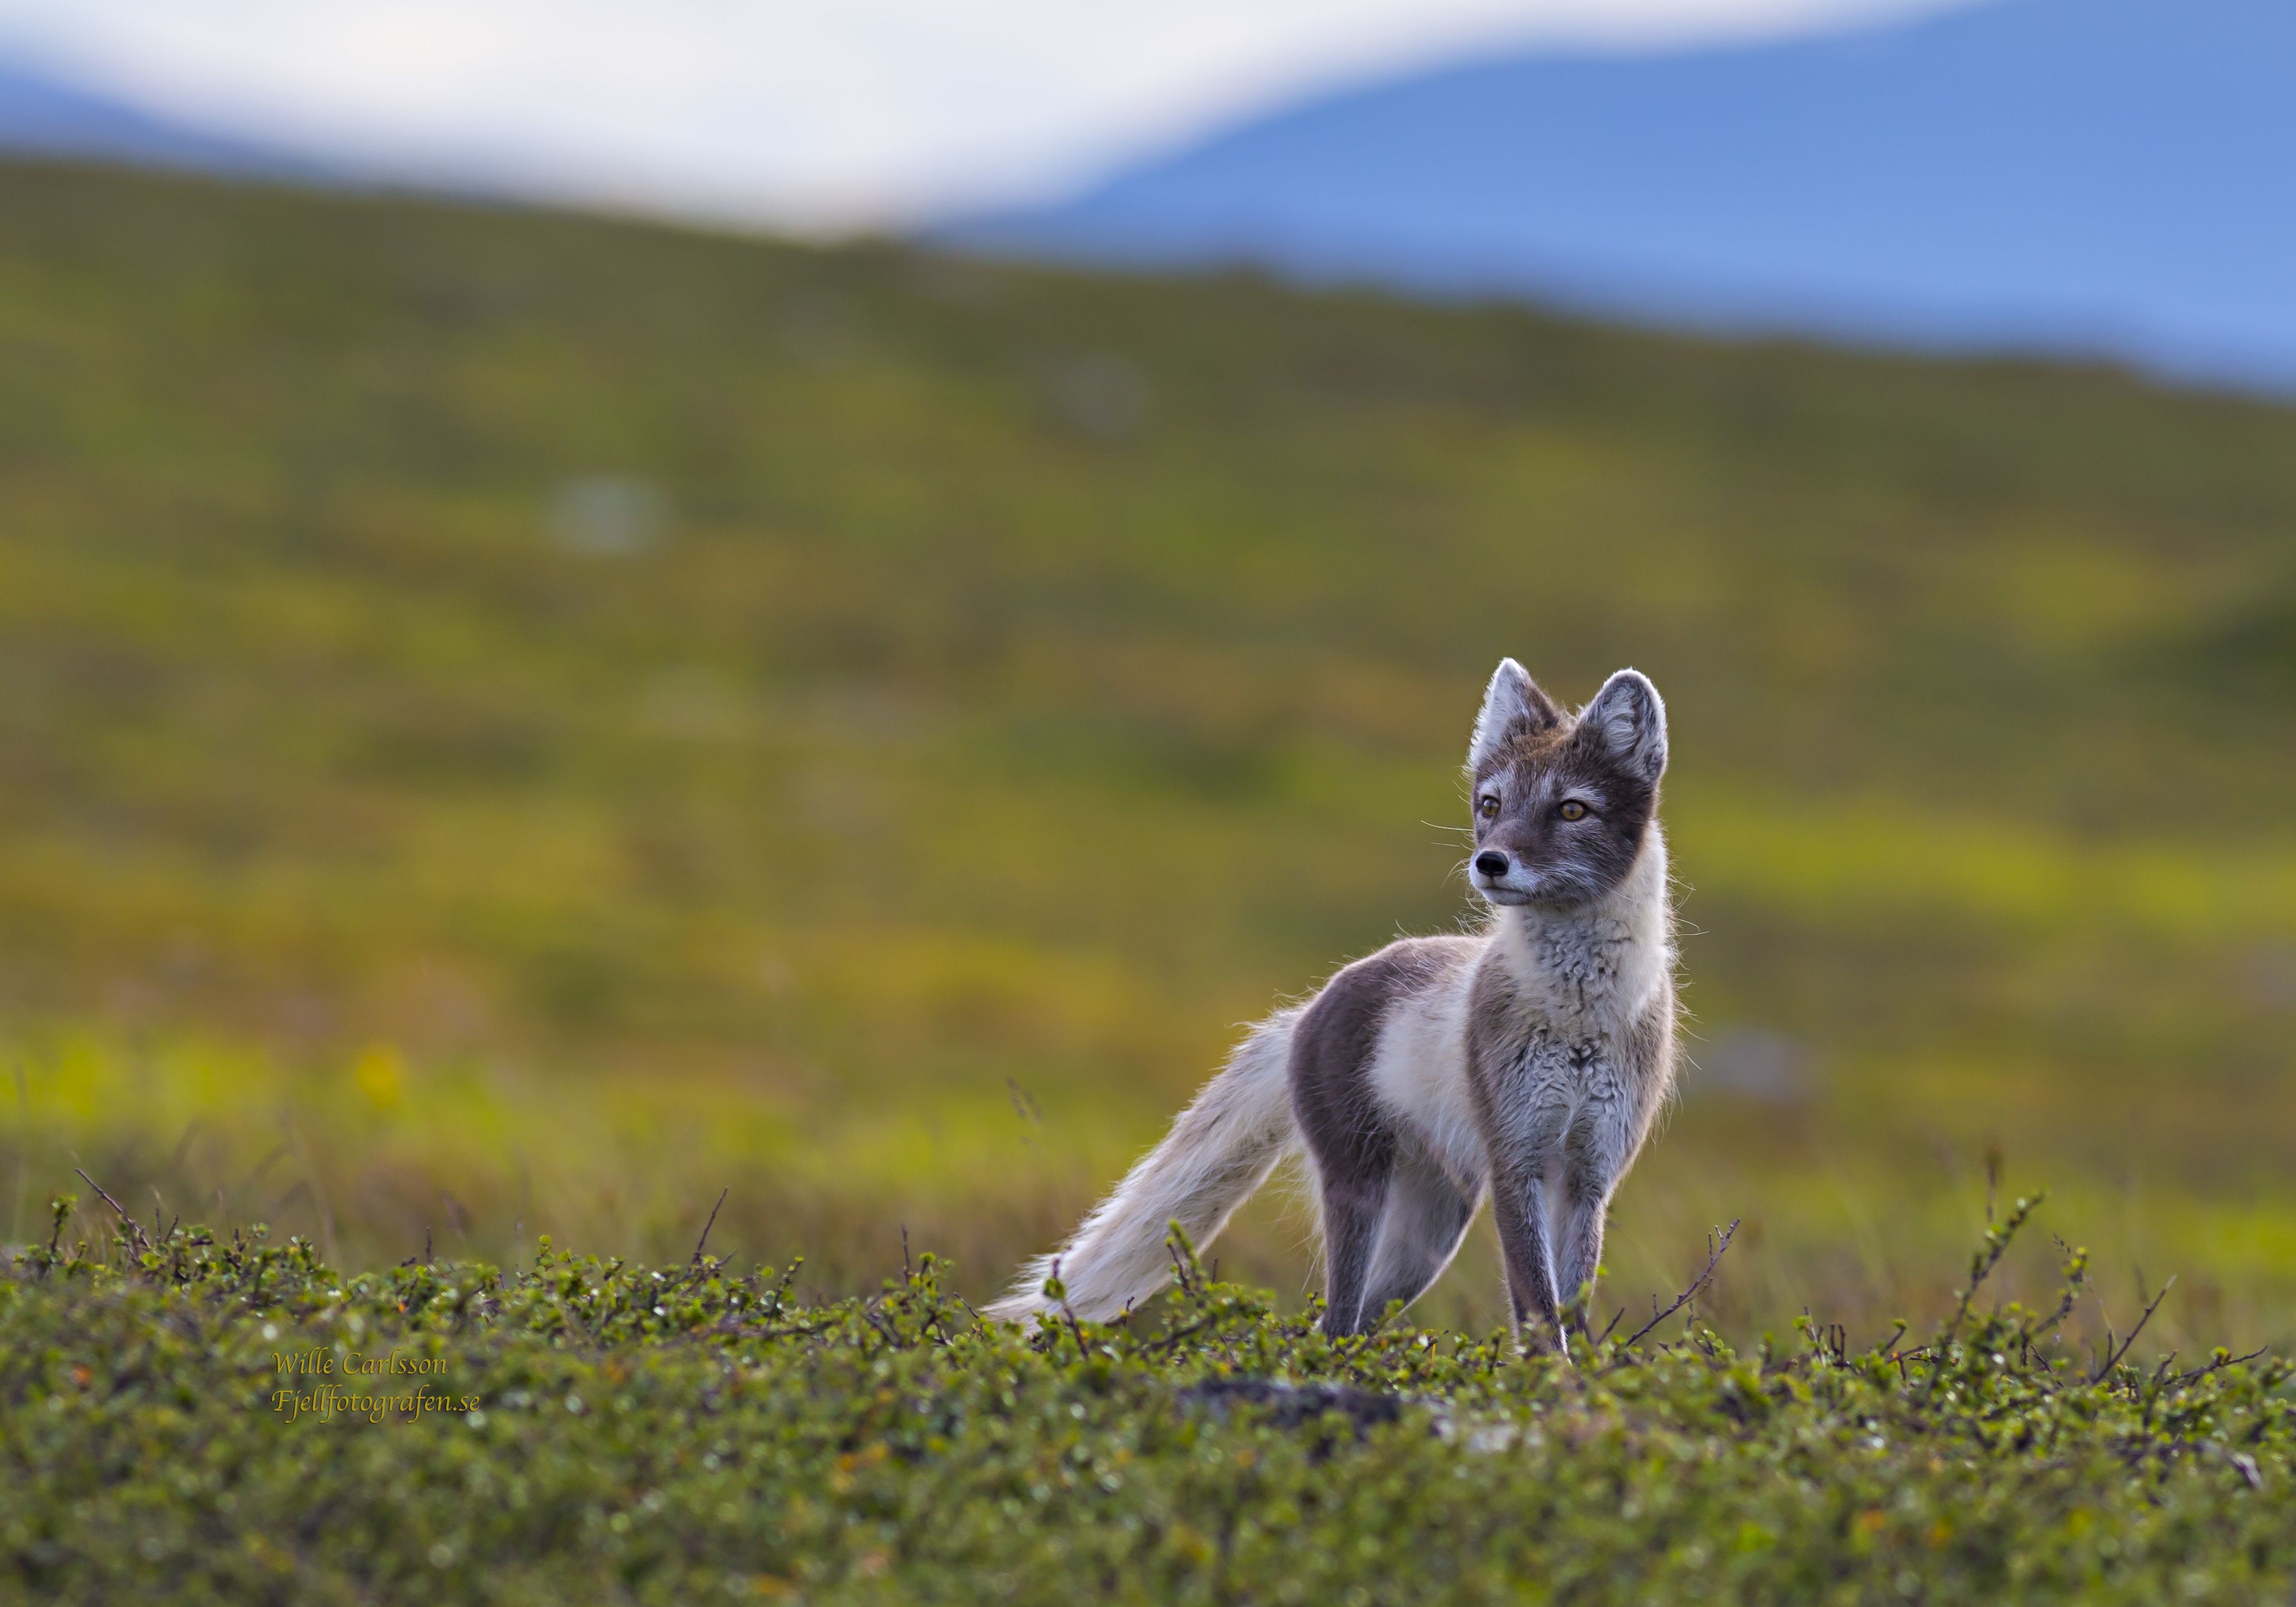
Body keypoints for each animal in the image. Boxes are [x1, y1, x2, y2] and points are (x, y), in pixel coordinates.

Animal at [987, 660, 1678, 1347]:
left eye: (1572, 809)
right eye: (1492, 805)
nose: (1490, 861)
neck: (1580, 1016)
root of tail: (1313, 1005)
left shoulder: (1590, 1177)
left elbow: (1574, 1313)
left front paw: (1583, 1374)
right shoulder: (1518, 1162)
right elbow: (1539, 1313)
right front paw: (1553, 1377)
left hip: (1429, 1235)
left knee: (1354, 1321)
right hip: (1361, 1189)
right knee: (1333, 1321)